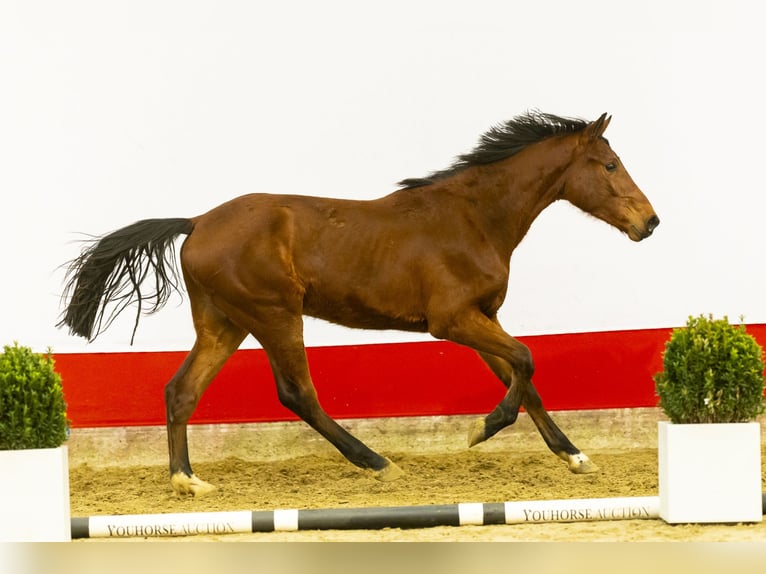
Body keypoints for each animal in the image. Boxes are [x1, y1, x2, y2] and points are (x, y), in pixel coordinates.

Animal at [60, 111, 660, 496]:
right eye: (609, 165)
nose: (650, 222)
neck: (474, 219)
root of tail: (197, 222)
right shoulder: (453, 320)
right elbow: (526, 360)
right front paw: (481, 429)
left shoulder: (483, 317)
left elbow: (523, 376)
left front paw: (576, 457)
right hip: (275, 315)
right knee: (297, 394)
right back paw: (378, 463)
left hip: (224, 323)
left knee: (181, 391)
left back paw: (187, 480)